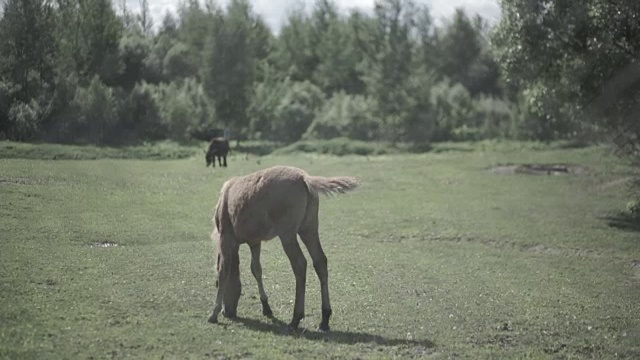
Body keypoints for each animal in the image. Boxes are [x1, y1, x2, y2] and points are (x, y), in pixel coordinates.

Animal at [210, 166, 360, 332]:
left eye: (215, 284)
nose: (228, 312)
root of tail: (305, 178)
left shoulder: (226, 237)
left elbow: (223, 270)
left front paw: (214, 314)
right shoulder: (255, 241)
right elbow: (256, 269)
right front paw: (266, 307)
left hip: (287, 234)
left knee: (300, 264)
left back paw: (295, 319)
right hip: (309, 228)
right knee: (320, 261)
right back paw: (324, 319)